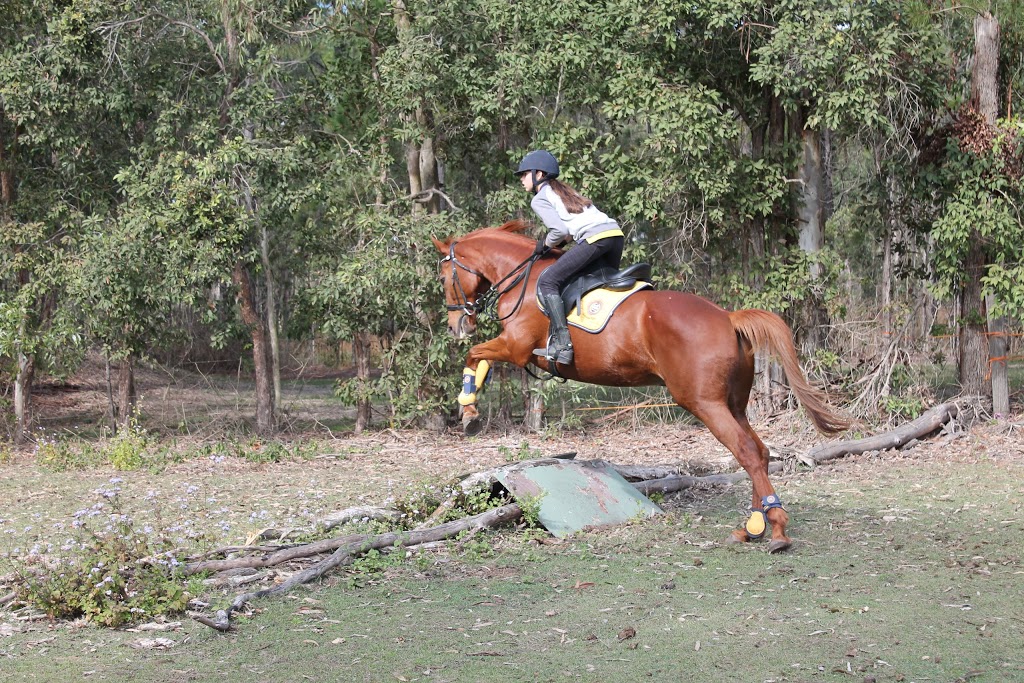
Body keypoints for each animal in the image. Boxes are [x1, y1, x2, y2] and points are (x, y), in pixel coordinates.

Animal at [432, 222, 847, 552]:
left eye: (444, 277)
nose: (457, 325)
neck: (525, 279)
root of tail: (728, 318)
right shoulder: (512, 348)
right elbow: (478, 358)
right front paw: (470, 410)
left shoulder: (516, 347)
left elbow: (473, 354)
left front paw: (468, 408)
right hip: (734, 404)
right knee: (758, 451)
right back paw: (753, 526)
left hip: (704, 403)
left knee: (746, 451)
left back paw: (774, 529)